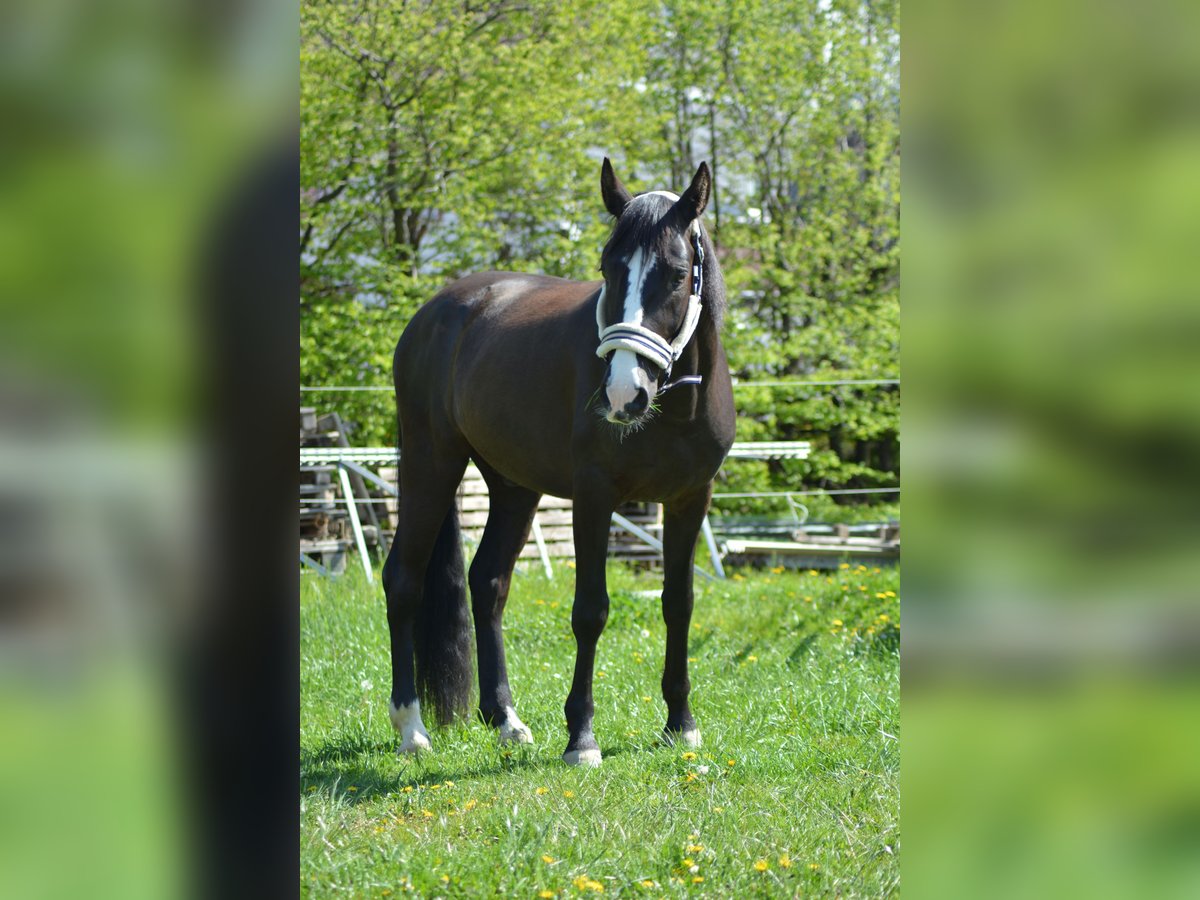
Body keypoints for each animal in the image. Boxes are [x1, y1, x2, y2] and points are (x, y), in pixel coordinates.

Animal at [384, 158, 734, 763]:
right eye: (607, 267)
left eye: (675, 273)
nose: (622, 395)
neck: (674, 406)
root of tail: (438, 310)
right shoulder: (594, 496)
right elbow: (590, 611)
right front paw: (582, 737)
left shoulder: (691, 500)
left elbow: (679, 603)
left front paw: (680, 724)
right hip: (432, 464)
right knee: (402, 580)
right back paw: (412, 729)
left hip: (513, 487)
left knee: (488, 583)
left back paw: (504, 719)